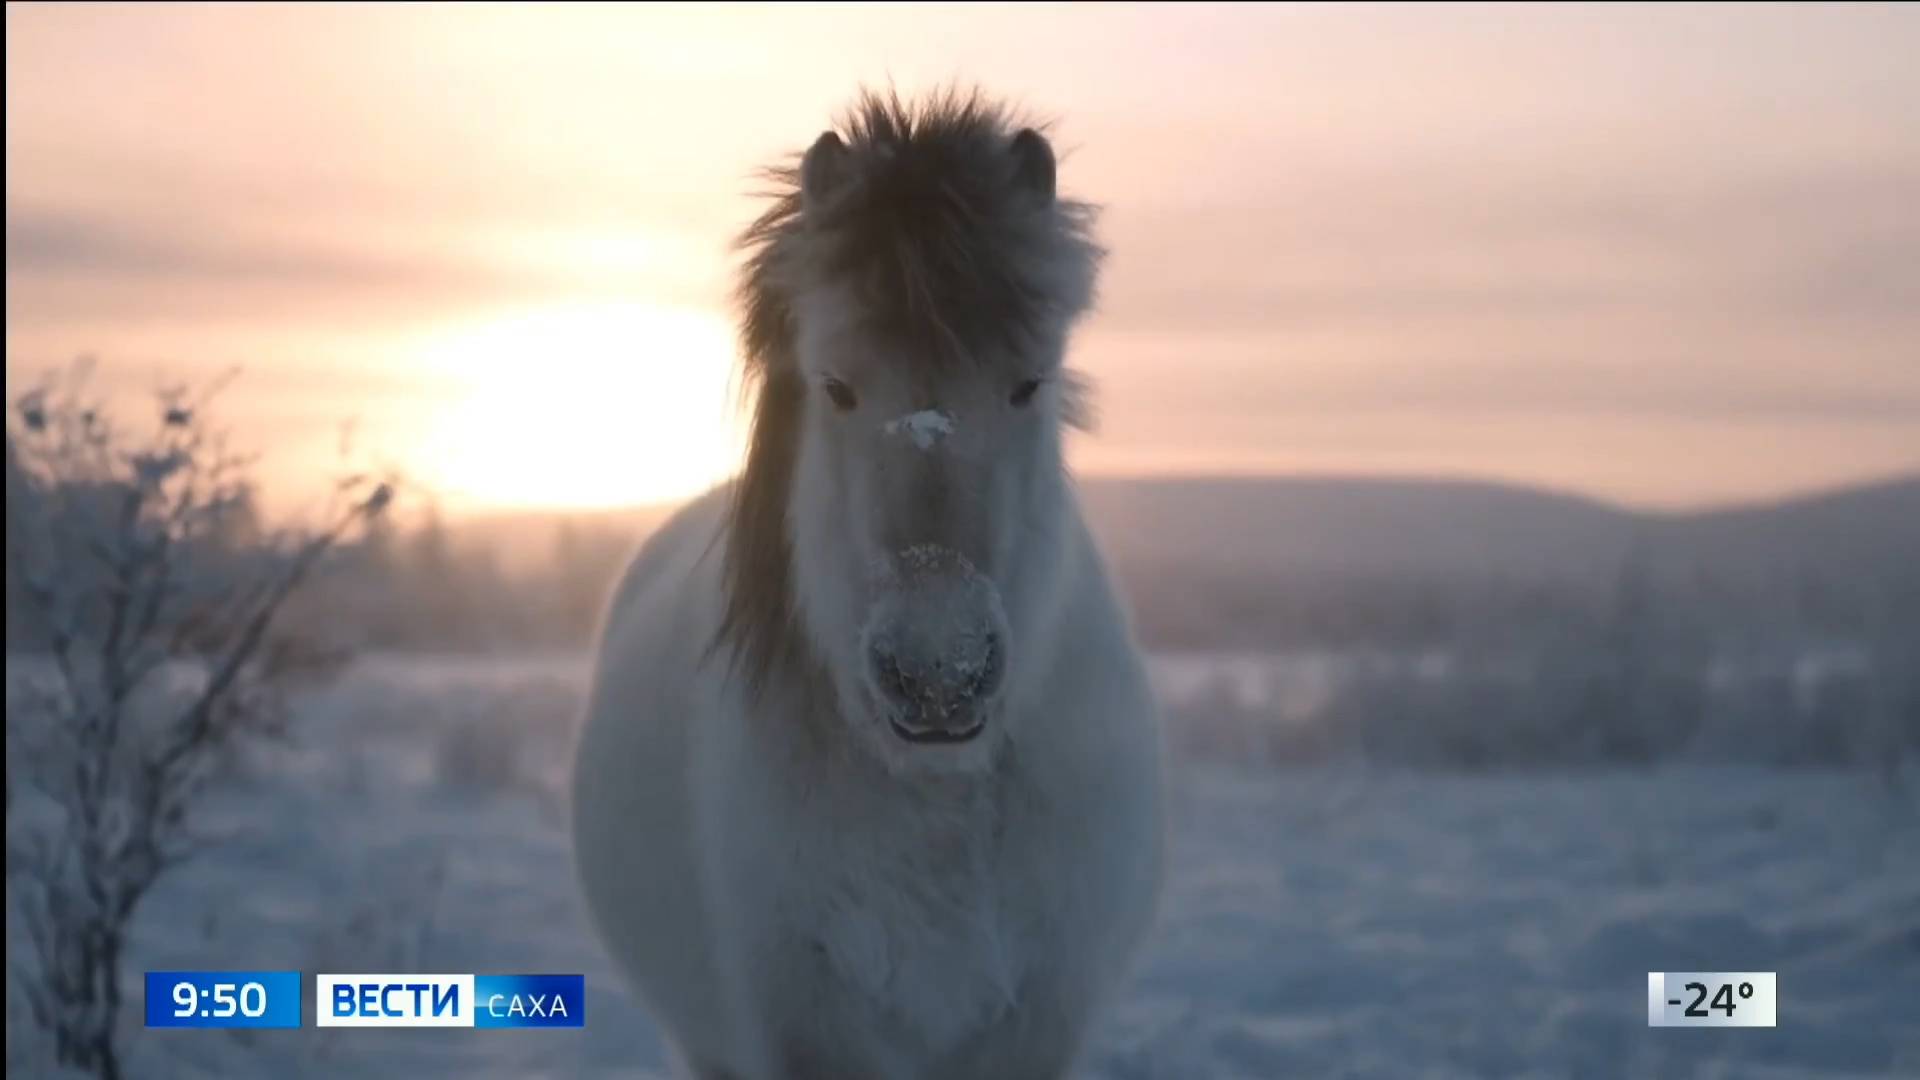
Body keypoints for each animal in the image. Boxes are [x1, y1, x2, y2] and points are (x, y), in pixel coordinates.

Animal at [568, 85, 1159, 1076]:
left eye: (1029, 384)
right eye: (837, 387)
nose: (937, 672)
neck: (938, 799)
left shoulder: (1035, 1024)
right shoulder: (808, 1029)